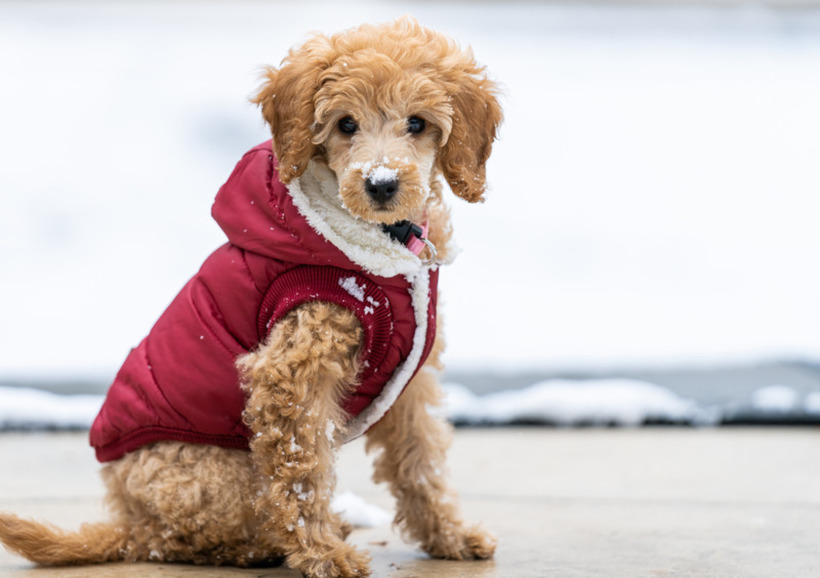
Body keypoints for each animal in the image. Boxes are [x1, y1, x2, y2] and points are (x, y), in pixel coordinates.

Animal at [0, 18, 502, 576]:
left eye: (417, 123)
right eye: (346, 124)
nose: (381, 183)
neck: (380, 248)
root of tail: (129, 520)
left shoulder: (410, 381)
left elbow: (420, 459)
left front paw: (449, 536)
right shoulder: (292, 372)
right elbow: (302, 471)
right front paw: (323, 555)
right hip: (214, 471)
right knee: (191, 536)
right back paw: (265, 545)